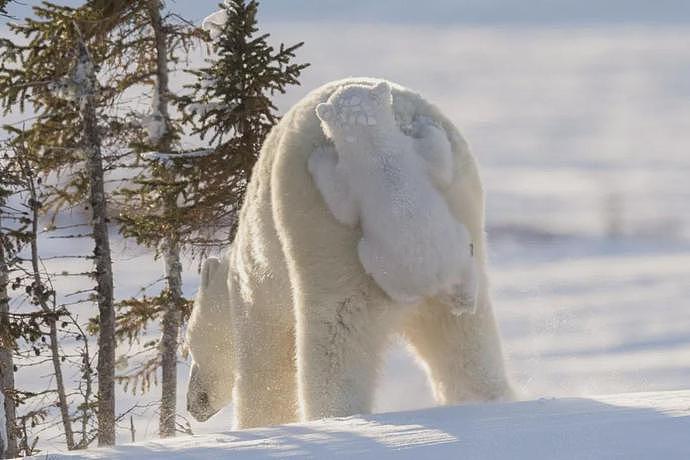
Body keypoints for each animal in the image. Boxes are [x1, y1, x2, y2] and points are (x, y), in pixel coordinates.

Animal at [308, 82, 476, 312]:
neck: (376, 150)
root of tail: (437, 280)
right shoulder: (405, 157)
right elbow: (439, 163)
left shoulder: (364, 171)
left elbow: (344, 210)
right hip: (447, 250)